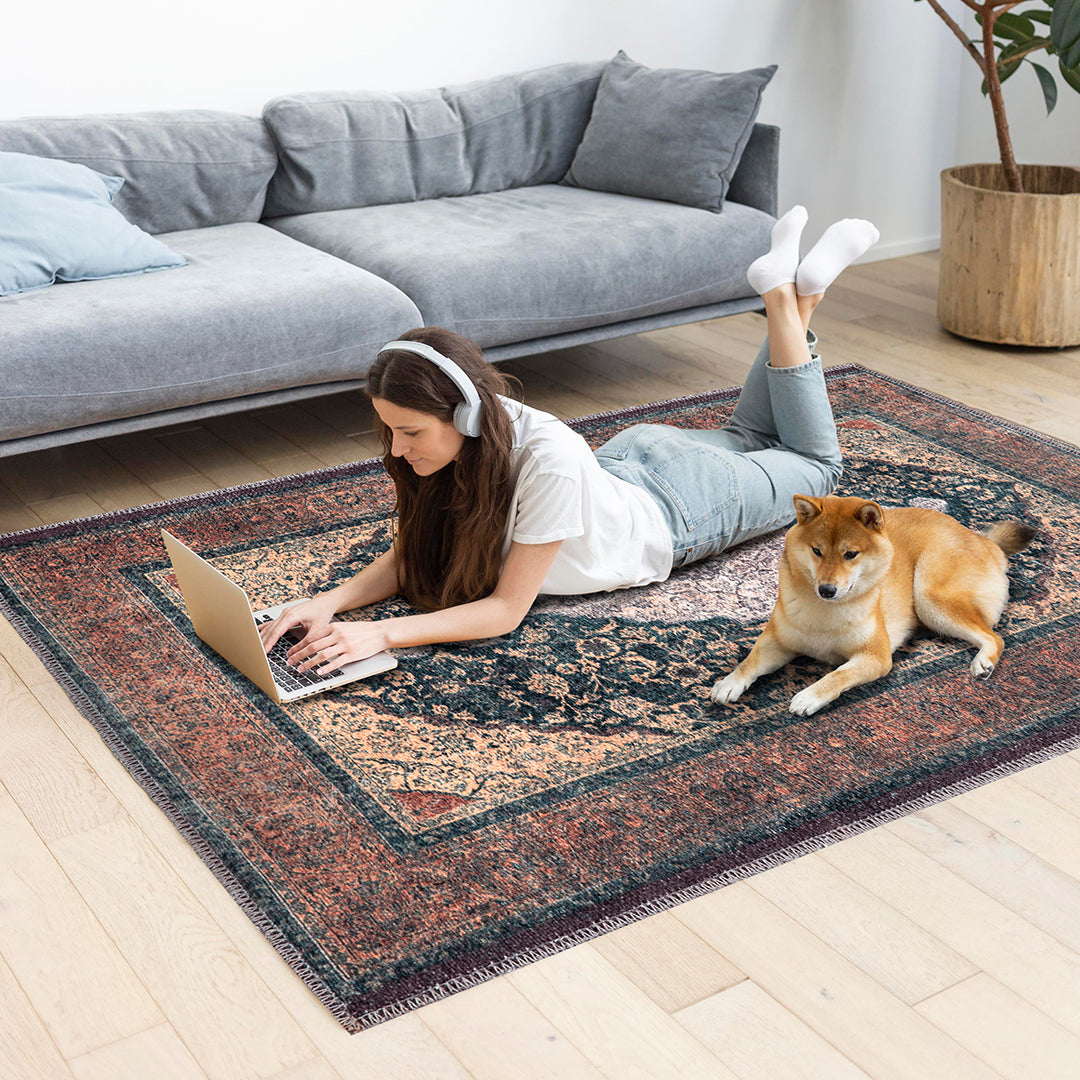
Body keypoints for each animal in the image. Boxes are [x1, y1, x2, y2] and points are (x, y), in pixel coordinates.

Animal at [712, 494, 1032, 717]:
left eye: (850, 554)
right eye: (816, 551)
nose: (827, 589)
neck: (824, 614)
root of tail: (982, 538)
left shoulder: (875, 656)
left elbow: (837, 675)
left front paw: (810, 695)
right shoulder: (779, 640)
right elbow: (750, 660)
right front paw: (730, 682)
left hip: (929, 598)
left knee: (994, 636)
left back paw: (984, 662)